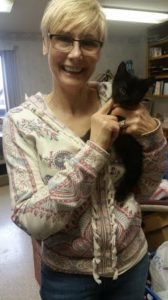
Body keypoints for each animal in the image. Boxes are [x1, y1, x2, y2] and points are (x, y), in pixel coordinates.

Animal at [111, 61, 154, 202]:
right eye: (123, 90)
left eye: (135, 93)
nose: (126, 99)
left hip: (135, 156)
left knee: (133, 174)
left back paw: (120, 194)